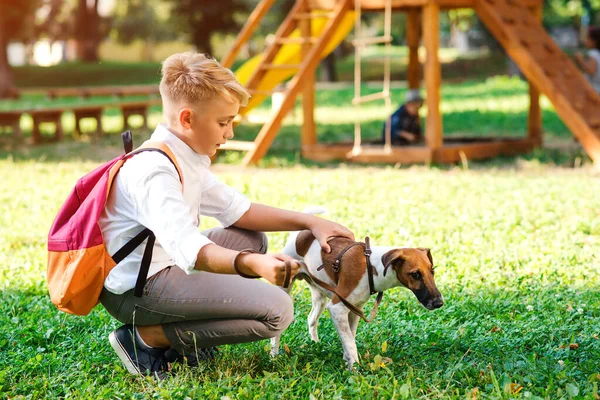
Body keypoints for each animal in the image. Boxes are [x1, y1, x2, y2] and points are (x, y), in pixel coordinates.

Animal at [270, 209, 442, 368]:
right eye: (415, 274)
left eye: (432, 270)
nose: (439, 303)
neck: (371, 267)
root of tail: (300, 233)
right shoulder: (337, 308)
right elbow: (350, 342)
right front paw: (354, 369)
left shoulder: (354, 309)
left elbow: (350, 337)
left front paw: (348, 360)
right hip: (285, 286)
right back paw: (274, 355)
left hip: (320, 294)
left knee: (311, 318)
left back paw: (315, 344)